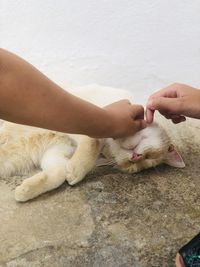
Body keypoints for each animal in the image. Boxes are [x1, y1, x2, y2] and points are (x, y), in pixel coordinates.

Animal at [0, 85, 185, 202]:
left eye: (133, 166)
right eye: (149, 156)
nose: (135, 157)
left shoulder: (58, 150)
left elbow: (58, 173)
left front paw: (25, 191)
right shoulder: (82, 113)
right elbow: (94, 138)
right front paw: (77, 170)